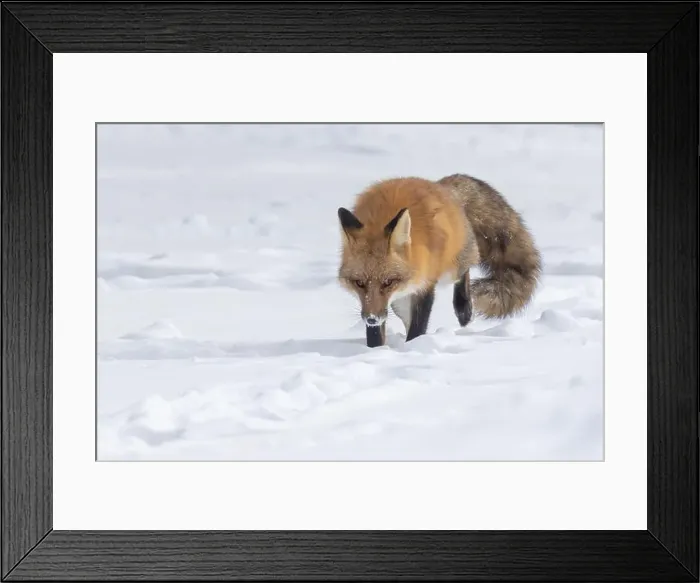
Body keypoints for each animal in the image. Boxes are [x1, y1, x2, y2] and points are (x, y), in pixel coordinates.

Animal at [337, 174, 541, 348]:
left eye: (388, 282)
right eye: (359, 283)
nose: (372, 318)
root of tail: (440, 185)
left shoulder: (425, 284)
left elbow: (418, 327)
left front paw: (413, 348)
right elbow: (376, 335)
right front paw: (376, 350)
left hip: (451, 269)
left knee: (466, 271)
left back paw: (464, 308)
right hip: (399, 302)